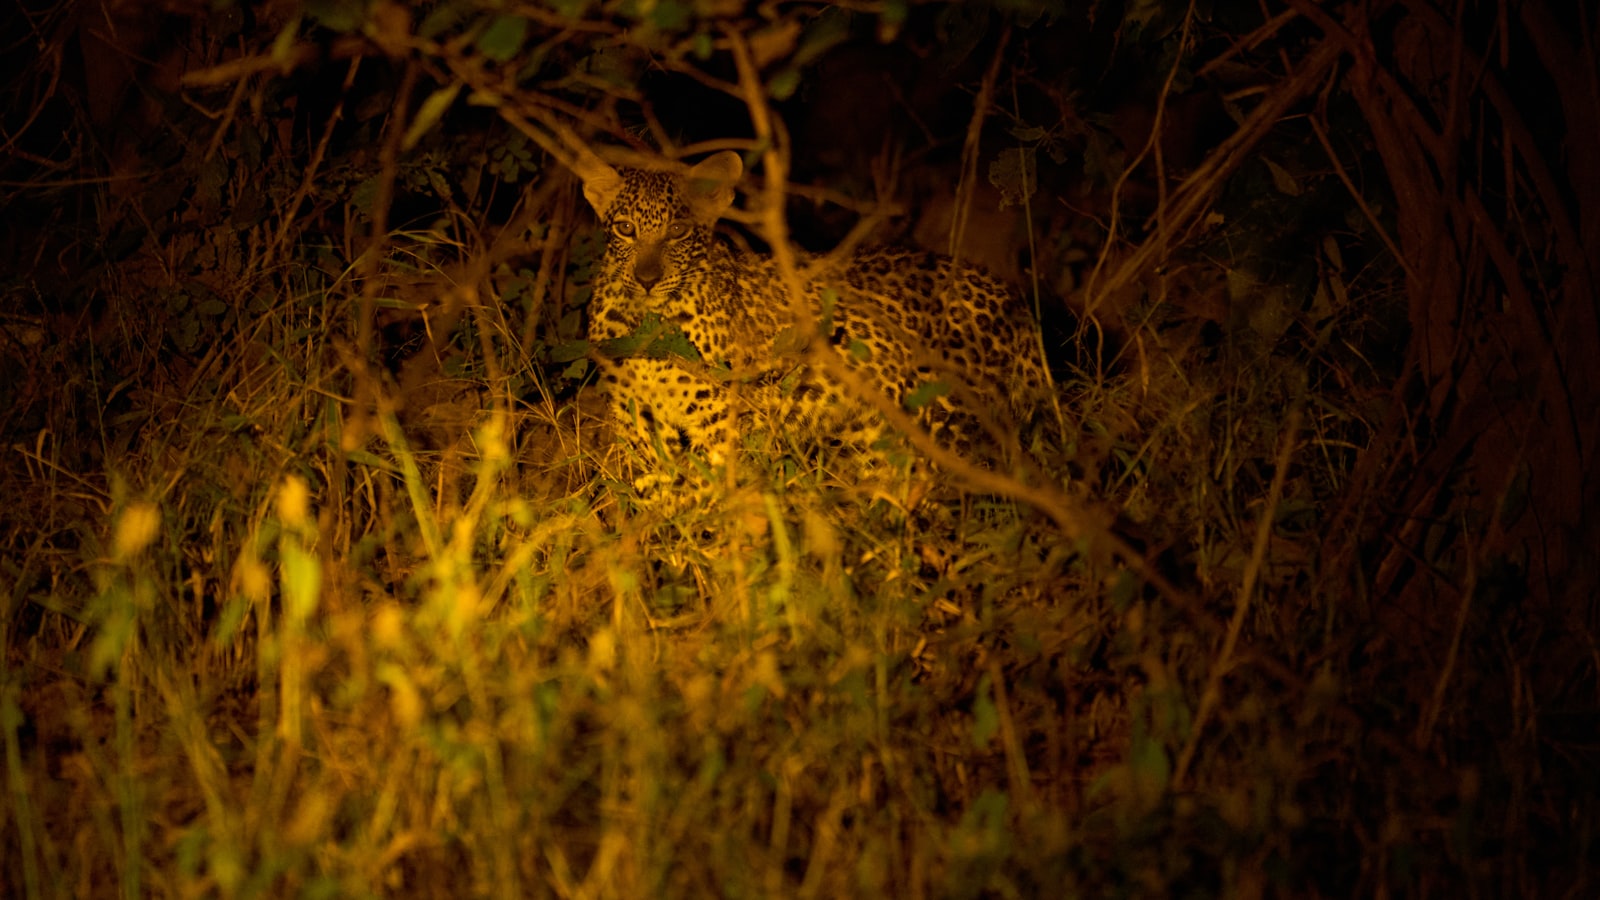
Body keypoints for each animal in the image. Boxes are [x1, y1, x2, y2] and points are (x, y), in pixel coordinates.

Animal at [575, 149, 1051, 487]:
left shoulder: (727, 417)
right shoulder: (634, 415)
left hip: (949, 420)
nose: (647, 279)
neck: (644, 321)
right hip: (875, 434)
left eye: (677, 231)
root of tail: (1012, 298)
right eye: (624, 229)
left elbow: (714, 488)